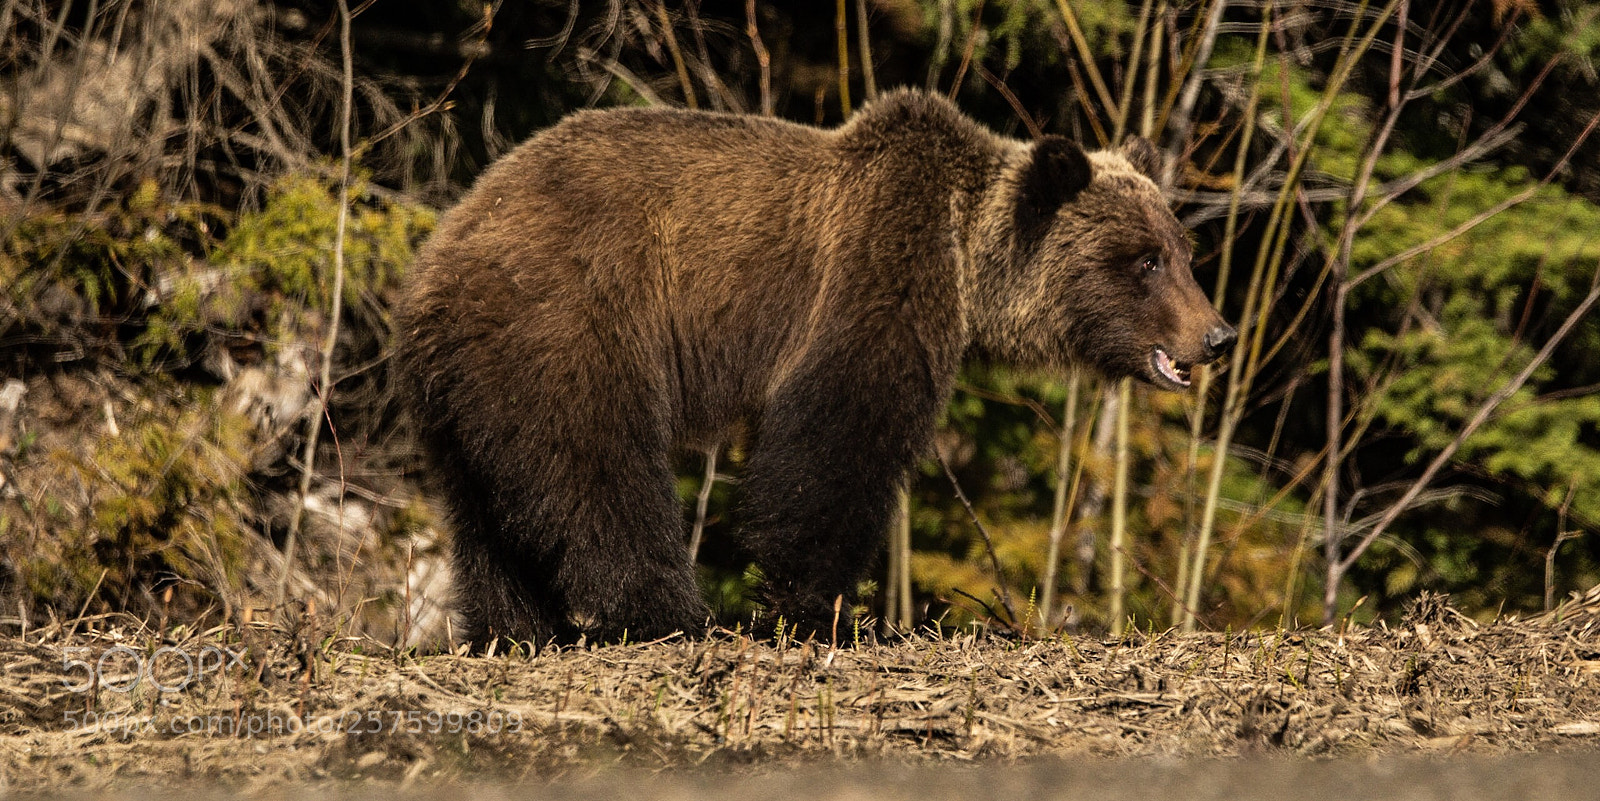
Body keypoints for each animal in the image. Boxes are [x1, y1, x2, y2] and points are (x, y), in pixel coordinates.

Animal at [395, 89, 1235, 648]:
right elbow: (835, 444)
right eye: (1144, 260)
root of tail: (441, 251)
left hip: (465, 387)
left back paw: (515, 626)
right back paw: (669, 613)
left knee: (485, 512)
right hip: (570, 322)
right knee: (597, 470)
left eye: (1183, 249)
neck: (968, 263)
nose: (1218, 334)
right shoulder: (874, 274)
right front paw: (823, 610)